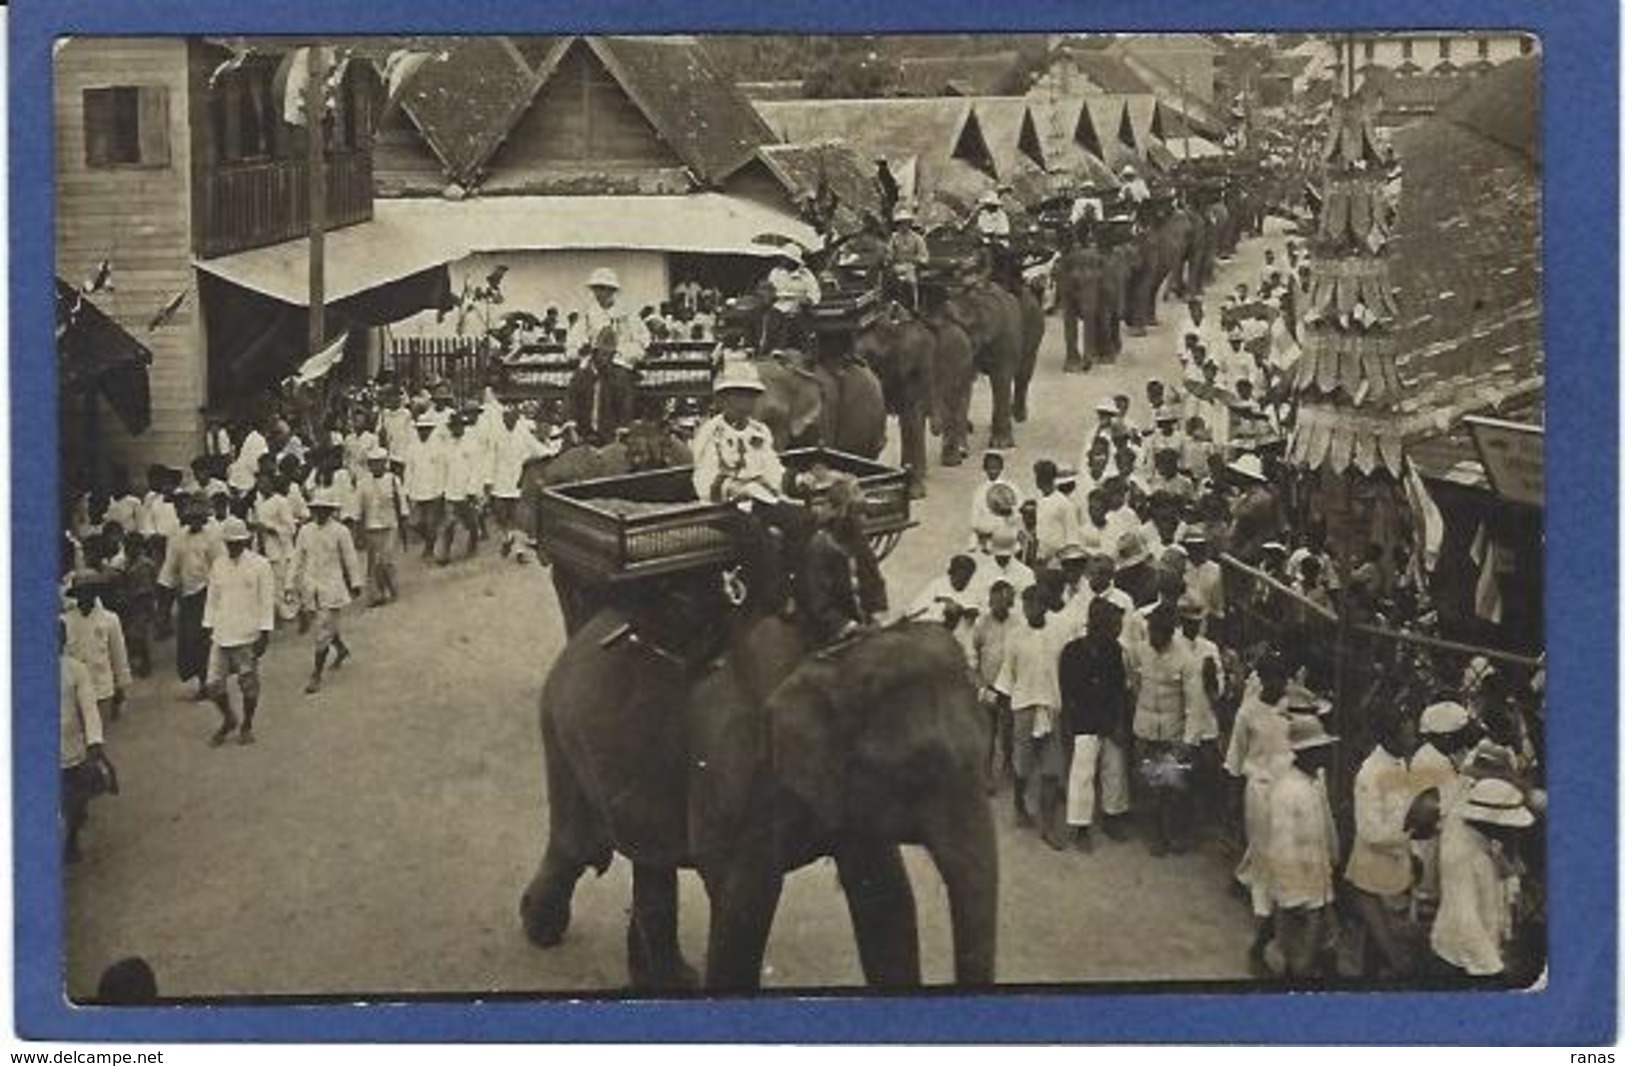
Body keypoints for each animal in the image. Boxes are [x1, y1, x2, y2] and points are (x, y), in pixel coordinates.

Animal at [526, 607, 994, 988]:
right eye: (917, 771)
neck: (832, 656)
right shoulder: (735, 769)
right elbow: (745, 901)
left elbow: (884, 897)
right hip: (562, 737)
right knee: (577, 845)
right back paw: (541, 930)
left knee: (649, 861)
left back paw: (668, 980)